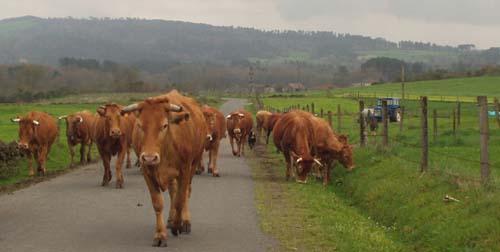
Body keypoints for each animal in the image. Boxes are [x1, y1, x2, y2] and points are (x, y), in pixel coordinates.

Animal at [121, 89, 207, 247]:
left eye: (165, 125)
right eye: (139, 125)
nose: (149, 157)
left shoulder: (185, 170)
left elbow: (180, 200)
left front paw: (178, 225)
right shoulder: (147, 171)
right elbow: (158, 203)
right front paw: (160, 235)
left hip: (193, 164)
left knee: (186, 192)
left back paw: (185, 222)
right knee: (173, 191)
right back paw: (170, 219)